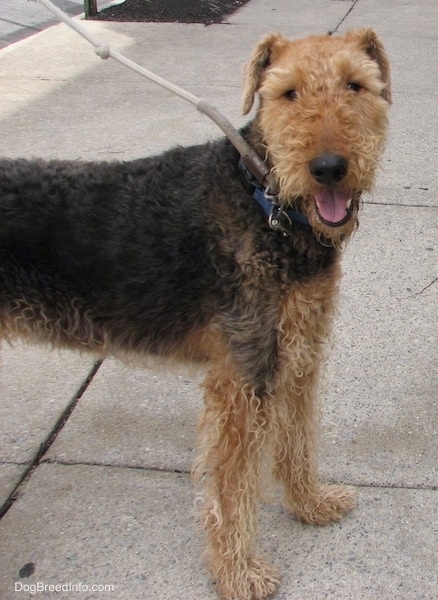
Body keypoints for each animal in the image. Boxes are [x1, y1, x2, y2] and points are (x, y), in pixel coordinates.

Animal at [0, 28, 390, 600]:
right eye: (288, 93)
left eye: (355, 85)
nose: (328, 169)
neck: (265, 201)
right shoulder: (242, 376)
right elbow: (231, 486)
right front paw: (239, 573)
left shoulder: (296, 353)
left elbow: (296, 441)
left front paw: (310, 504)